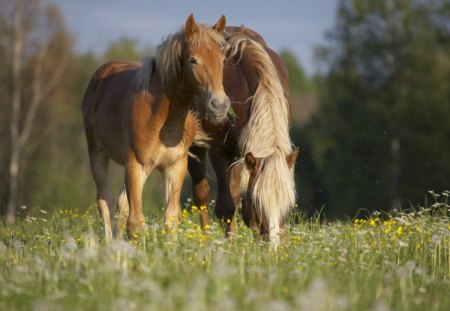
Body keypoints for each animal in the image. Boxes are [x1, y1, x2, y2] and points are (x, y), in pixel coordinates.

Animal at [81, 14, 229, 241]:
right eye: (193, 60)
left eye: (223, 60)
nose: (219, 105)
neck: (162, 119)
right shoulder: (136, 165)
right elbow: (135, 222)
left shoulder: (175, 167)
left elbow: (171, 218)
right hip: (98, 153)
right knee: (105, 199)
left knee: (120, 205)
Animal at [189, 26, 298, 246]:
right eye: (258, 202)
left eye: (288, 205)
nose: (273, 246)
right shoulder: (220, 152)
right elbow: (226, 207)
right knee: (202, 196)